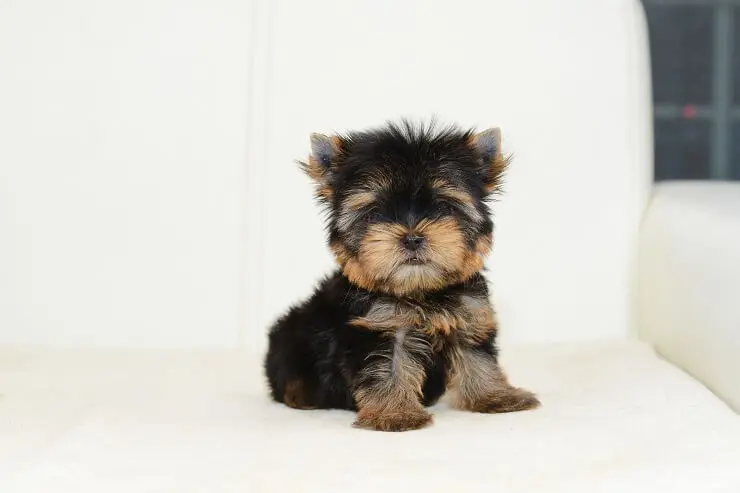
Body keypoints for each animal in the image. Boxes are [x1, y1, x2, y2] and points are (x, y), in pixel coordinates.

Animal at [264, 120, 536, 430]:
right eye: (374, 213)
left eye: (444, 206)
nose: (412, 238)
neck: (419, 289)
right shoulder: (379, 325)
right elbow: (387, 369)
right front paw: (394, 415)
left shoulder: (469, 315)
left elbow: (478, 359)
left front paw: (497, 396)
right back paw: (300, 395)